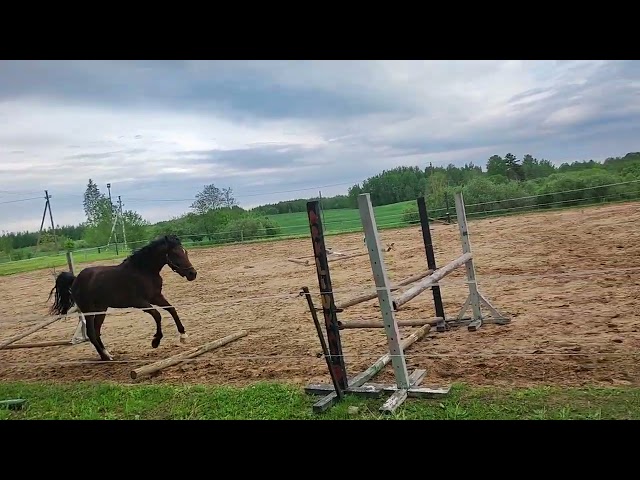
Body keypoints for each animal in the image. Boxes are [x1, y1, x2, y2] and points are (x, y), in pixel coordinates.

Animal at [47, 234, 197, 361]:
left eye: (185, 252)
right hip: (89, 311)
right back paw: (105, 357)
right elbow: (157, 315)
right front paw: (155, 341)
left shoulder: (155, 297)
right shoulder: (140, 302)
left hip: (101, 309)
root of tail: (75, 280)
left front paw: (183, 336)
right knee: (91, 333)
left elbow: (171, 309)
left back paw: (107, 355)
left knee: (96, 331)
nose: (192, 274)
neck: (144, 271)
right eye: (176, 254)